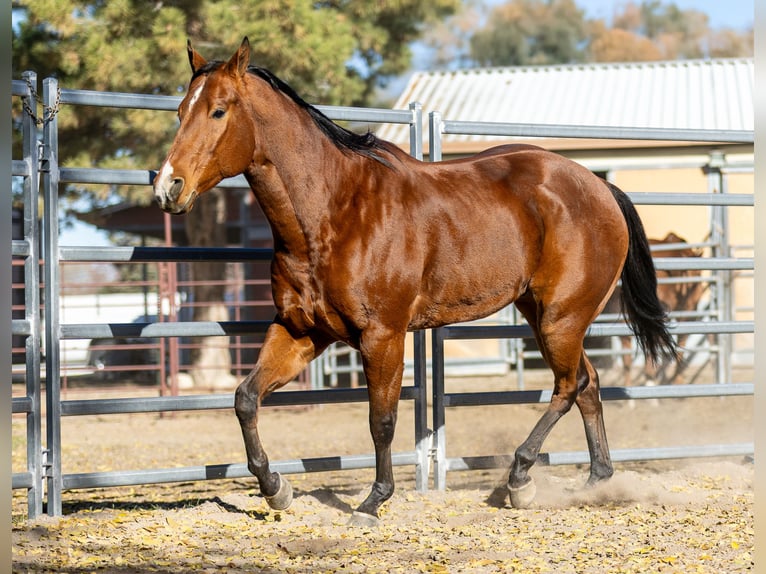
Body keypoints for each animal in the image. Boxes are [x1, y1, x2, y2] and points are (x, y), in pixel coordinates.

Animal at [153, 37, 676, 526]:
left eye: (219, 110)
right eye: (180, 111)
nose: (167, 188)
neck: (334, 210)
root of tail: (599, 185)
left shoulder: (382, 336)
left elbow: (381, 421)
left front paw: (372, 501)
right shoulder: (301, 331)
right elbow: (245, 398)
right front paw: (275, 488)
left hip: (561, 318)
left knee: (571, 385)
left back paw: (521, 478)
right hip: (543, 314)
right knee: (588, 384)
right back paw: (595, 481)